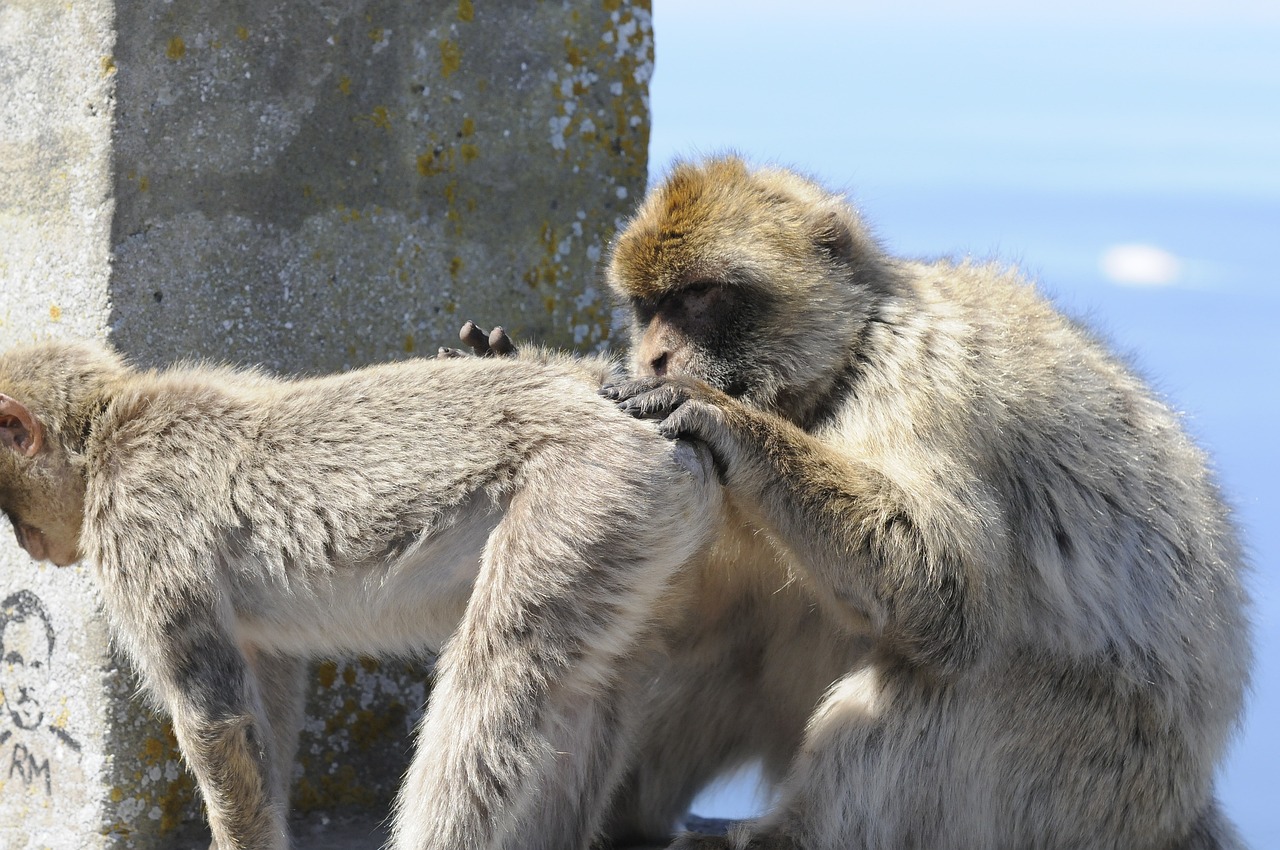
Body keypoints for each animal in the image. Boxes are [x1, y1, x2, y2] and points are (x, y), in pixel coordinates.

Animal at [0, 340, 721, 850]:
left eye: (9, 508)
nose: (27, 544)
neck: (108, 431)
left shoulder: (138, 525)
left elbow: (215, 720)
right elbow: (264, 700)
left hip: (591, 489)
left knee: (498, 671)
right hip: (636, 527)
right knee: (590, 681)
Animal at [593, 156, 1254, 844]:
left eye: (699, 296)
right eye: (647, 307)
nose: (654, 356)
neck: (841, 366)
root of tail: (1180, 808)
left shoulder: (921, 383)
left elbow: (939, 577)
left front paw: (721, 418)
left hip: (1090, 782)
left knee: (956, 666)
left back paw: (789, 836)